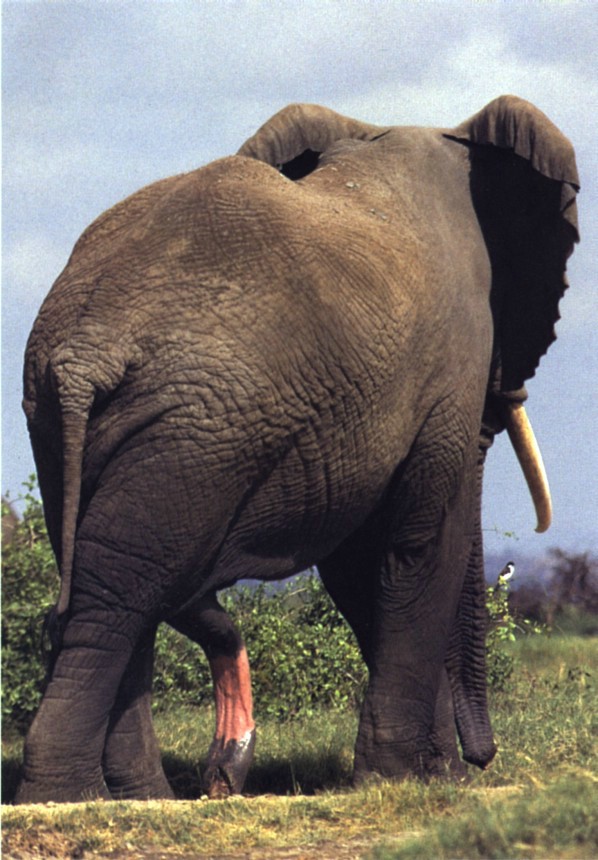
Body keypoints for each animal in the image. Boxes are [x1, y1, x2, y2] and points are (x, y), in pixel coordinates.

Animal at [15, 95, 579, 803]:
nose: (481, 761)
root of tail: (86, 349)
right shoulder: (450, 365)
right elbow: (417, 547)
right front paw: (401, 782)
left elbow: (360, 564)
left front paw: (426, 776)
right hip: (197, 434)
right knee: (123, 584)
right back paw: (68, 797)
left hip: (75, 419)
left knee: (107, 575)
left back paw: (142, 796)